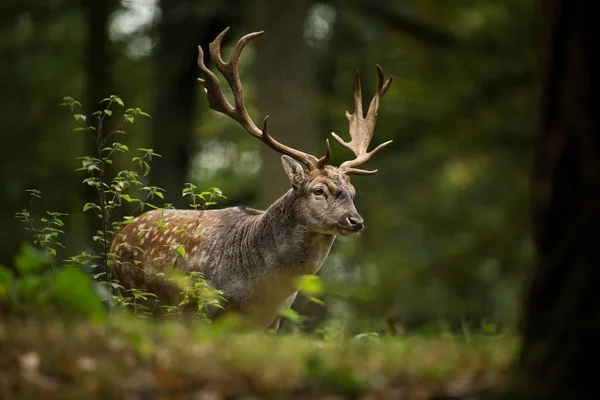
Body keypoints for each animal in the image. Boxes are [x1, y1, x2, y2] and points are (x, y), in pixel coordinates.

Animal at [109, 26, 392, 330]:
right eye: (318, 190)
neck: (260, 292)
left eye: (353, 191)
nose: (356, 221)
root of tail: (117, 236)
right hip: (133, 298)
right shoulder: (203, 307)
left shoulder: (274, 320)